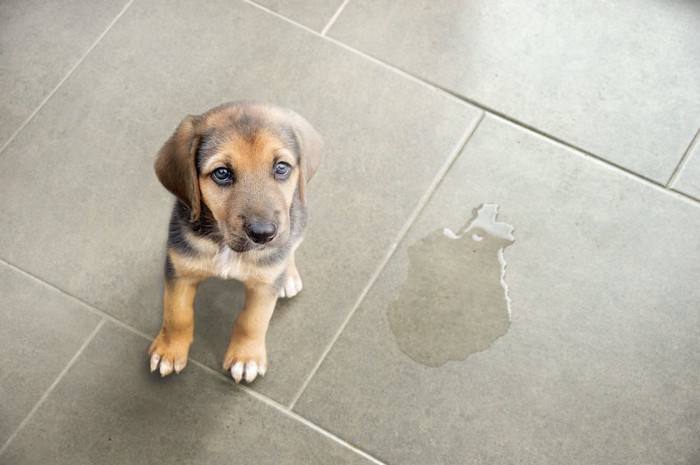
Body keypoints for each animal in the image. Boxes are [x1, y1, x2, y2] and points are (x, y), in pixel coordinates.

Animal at [150, 103, 322, 382]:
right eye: (222, 173)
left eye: (281, 167)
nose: (263, 234)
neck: (225, 245)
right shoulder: (180, 271)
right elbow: (177, 314)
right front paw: (169, 349)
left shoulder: (264, 286)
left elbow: (252, 321)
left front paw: (246, 357)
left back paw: (288, 276)